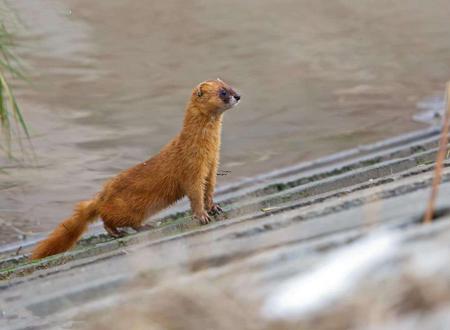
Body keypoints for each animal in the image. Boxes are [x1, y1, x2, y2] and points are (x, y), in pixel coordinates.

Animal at [30, 78, 243, 260]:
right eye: (223, 92)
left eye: (230, 85)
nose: (238, 95)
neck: (207, 150)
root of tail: (102, 195)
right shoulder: (191, 168)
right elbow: (195, 194)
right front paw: (202, 215)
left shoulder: (212, 166)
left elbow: (209, 190)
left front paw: (214, 207)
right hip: (124, 208)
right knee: (107, 219)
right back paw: (117, 232)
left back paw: (146, 225)